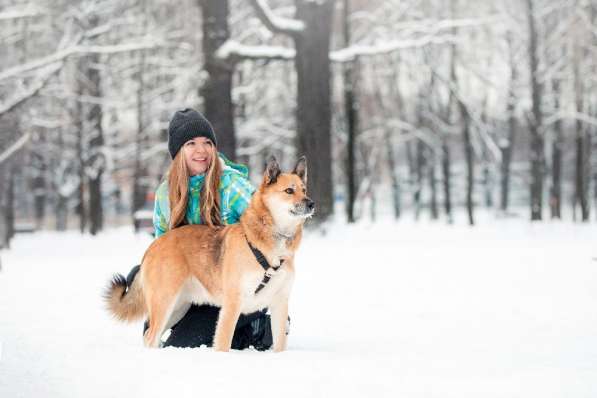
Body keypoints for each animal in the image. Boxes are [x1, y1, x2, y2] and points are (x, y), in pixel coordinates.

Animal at [105, 155, 314, 352]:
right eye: (289, 191)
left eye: (304, 190)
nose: (311, 203)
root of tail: (154, 244)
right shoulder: (232, 304)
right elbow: (223, 344)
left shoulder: (280, 303)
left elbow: (280, 345)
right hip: (165, 302)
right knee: (151, 336)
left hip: (177, 307)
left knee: (150, 334)